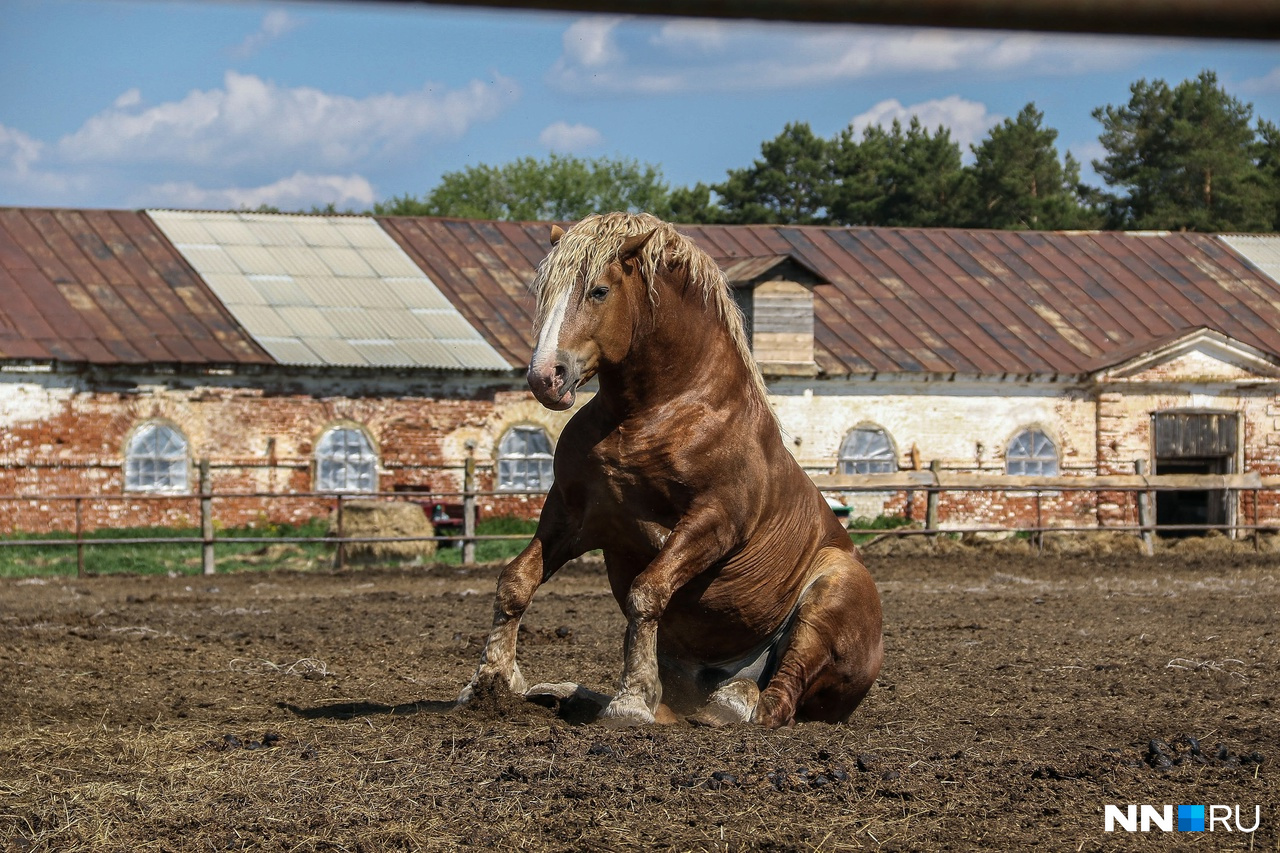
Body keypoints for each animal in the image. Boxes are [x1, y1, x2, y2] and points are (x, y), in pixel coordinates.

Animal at [458, 212, 880, 722]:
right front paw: (489, 682)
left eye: (599, 290)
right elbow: (516, 583)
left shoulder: (713, 522)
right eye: (545, 292)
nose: (545, 377)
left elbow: (646, 593)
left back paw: (732, 703)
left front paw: (631, 701)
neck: (658, 411)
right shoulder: (573, 515)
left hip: (831, 594)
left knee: (778, 697)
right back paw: (564, 691)